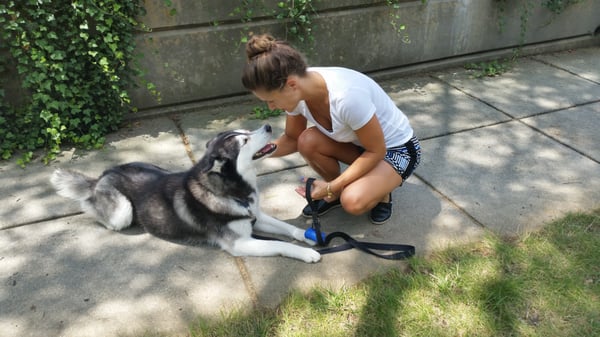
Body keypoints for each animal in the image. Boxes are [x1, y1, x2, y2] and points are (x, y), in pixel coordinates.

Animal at [51, 124, 322, 262]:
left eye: (246, 131)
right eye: (244, 141)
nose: (267, 125)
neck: (236, 192)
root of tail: (103, 174)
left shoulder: (255, 215)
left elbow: (286, 228)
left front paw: (308, 235)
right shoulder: (240, 243)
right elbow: (279, 243)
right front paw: (307, 253)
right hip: (122, 213)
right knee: (98, 211)